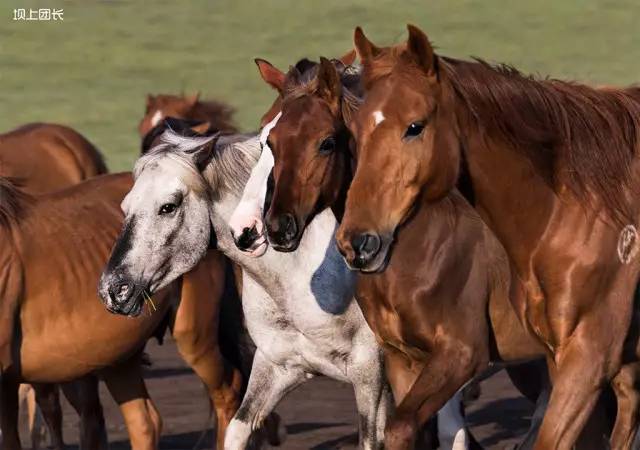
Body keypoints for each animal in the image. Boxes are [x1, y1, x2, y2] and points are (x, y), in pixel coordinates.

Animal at [99, 128, 390, 448]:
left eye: (168, 207)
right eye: (125, 208)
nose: (113, 289)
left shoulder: (369, 375)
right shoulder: (279, 367)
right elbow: (238, 428)